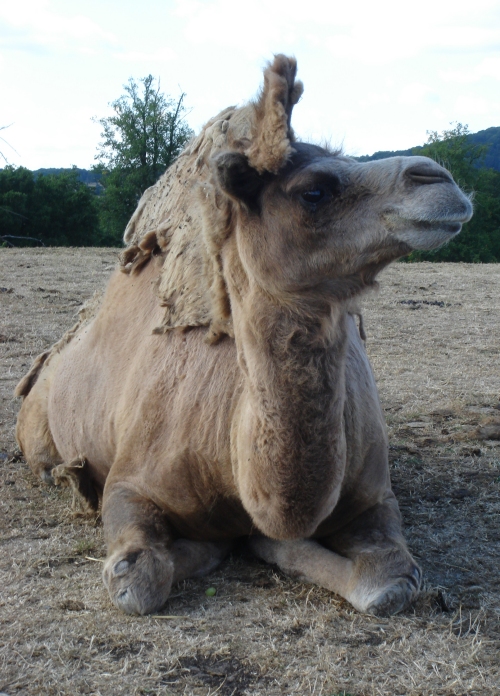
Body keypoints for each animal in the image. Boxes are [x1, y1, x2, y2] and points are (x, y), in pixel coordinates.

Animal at [13, 57, 470, 616]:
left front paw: (269, 543)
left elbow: (389, 583)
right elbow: (137, 579)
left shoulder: (374, 494)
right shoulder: (128, 483)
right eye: (313, 190)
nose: (438, 178)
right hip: (36, 422)